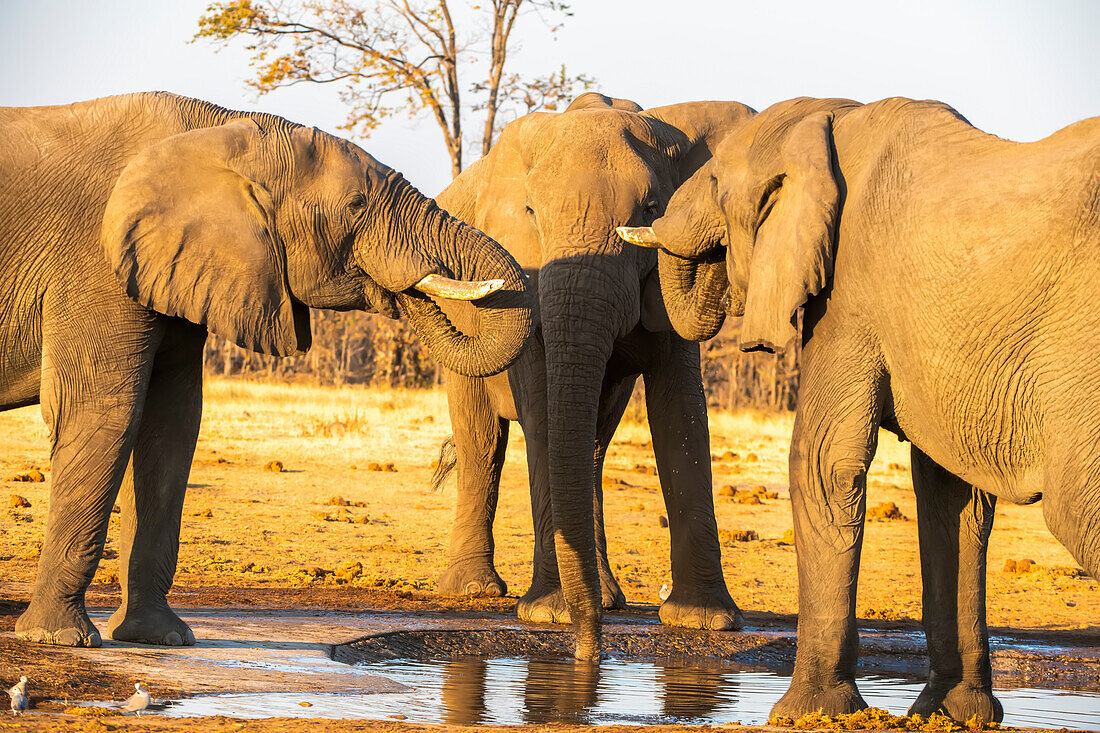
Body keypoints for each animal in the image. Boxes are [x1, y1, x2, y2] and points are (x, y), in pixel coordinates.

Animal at [0, 91, 532, 647]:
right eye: (356, 206)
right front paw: (59, 638)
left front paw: (160, 638)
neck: (225, 132)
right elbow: (105, 413)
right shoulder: (94, 270)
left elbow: (171, 426)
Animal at [429, 91, 756, 655]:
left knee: (596, 445)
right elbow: (542, 413)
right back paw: (475, 590)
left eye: (651, 209)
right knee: (481, 441)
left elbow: (681, 413)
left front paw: (704, 621)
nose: (589, 649)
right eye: (532, 213)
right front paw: (550, 614)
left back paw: (604, 598)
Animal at [620, 96, 1100, 717]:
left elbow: (823, 463)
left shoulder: (848, 299)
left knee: (1076, 508)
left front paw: (805, 714)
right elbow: (951, 493)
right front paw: (948, 715)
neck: (833, 119)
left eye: (716, 181)